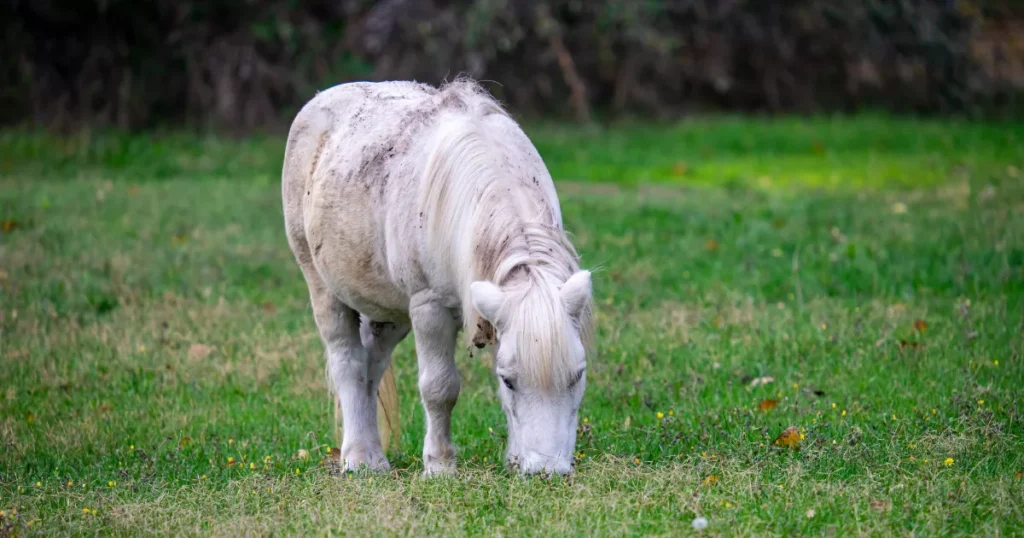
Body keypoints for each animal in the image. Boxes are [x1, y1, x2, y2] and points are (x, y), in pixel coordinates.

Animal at [284, 79, 598, 473]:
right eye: (510, 381)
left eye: (577, 375)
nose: (547, 471)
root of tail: (321, 100)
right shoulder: (429, 307)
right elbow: (439, 388)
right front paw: (440, 464)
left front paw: (512, 457)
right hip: (323, 286)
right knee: (348, 363)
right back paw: (358, 457)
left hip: (391, 312)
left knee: (371, 364)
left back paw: (373, 454)